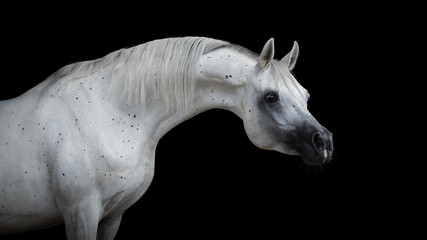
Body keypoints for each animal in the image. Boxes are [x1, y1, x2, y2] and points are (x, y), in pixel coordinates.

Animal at [0, 36, 334, 239]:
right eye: (270, 97)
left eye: (306, 96)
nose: (325, 143)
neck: (107, 113)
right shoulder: (80, 214)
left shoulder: (111, 217)